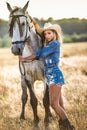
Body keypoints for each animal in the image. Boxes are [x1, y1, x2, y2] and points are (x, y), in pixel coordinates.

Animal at [6, 1, 51, 130]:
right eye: (10, 24)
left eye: (23, 23)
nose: (15, 50)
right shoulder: (27, 79)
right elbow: (33, 100)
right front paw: (36, 123)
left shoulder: (47, 77)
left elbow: (46, 99)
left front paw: (47, 121)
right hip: (22, 80)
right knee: (24, 97)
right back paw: (21, 118)